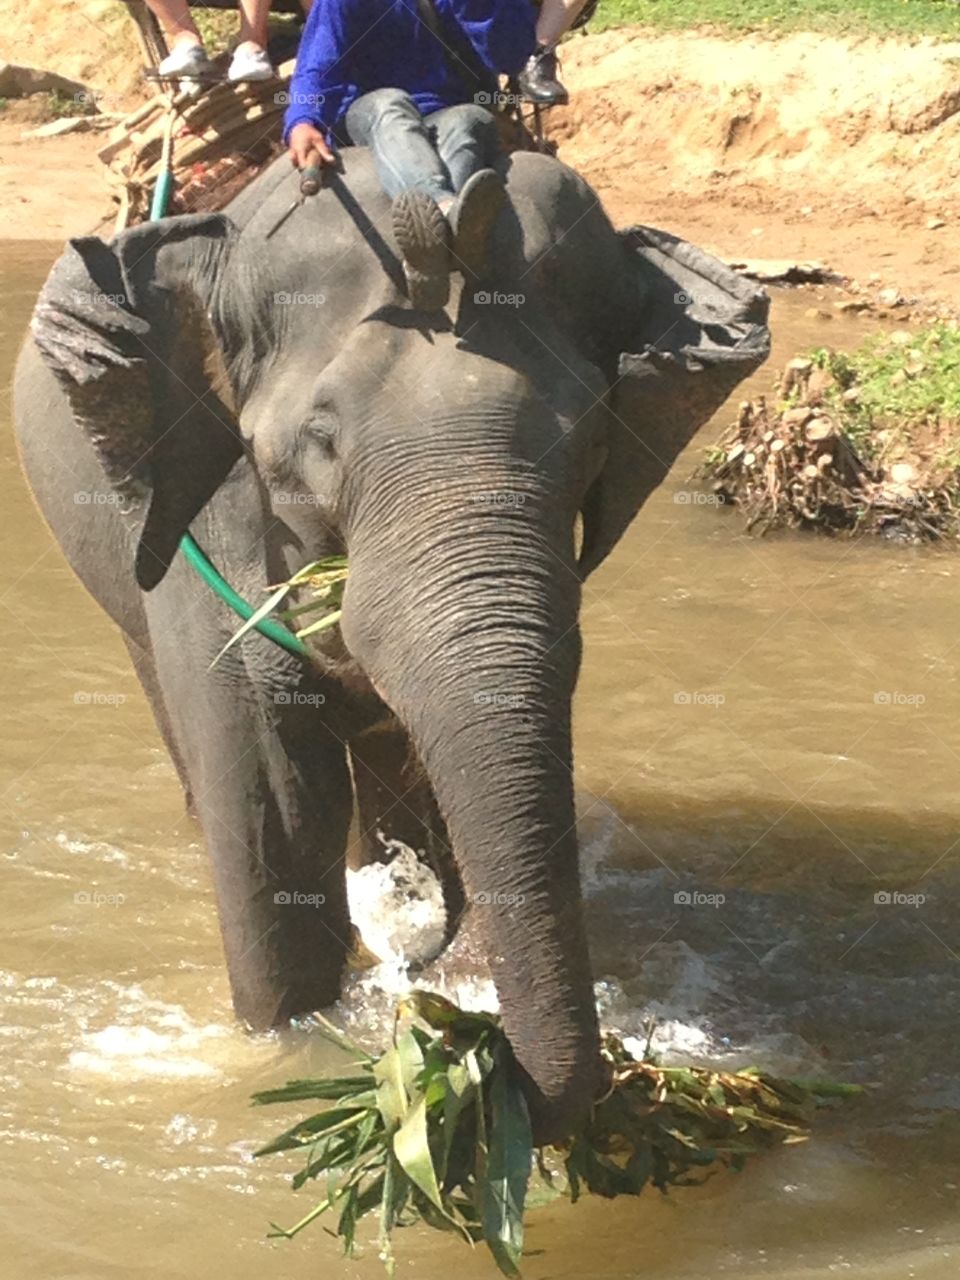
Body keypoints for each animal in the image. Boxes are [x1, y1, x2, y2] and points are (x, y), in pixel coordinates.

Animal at [14, 145, 768, 1141]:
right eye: (321, 442)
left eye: (590, 445)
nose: (485, 1056)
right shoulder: (208, 527)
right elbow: (276, 812)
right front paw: (288, 1051)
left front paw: (424, 961)